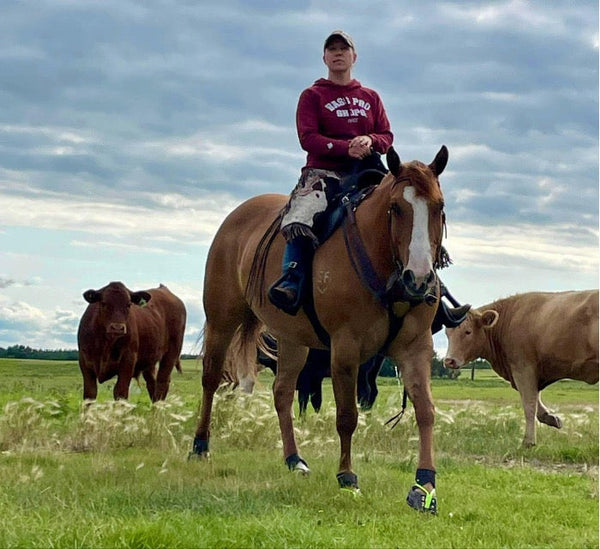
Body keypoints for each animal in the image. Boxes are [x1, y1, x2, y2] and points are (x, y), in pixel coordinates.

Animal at [192, 147, 450, 512]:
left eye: (439, 207)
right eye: (396, 208)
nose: (420, 278)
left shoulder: (415, 348)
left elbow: (425, 412)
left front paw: (424, 485)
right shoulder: (345, 350)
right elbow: (347, 416)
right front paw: (347, 476)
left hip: (293, 340)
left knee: (282, 393)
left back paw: (294, 459)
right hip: (222, 320)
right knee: (211, 379)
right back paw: (200, 445)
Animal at [442, 292, 596, 446]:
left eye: (468, 332)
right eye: (447, 334)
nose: (449, 361)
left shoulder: (523, 368)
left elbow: (529, 404)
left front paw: (528, 441)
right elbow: (535, 401)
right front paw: (551, 418)